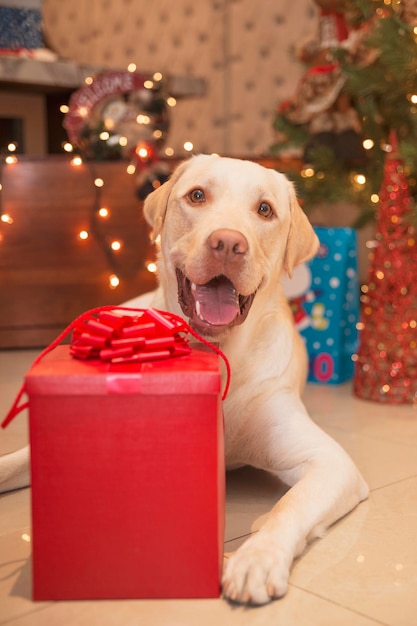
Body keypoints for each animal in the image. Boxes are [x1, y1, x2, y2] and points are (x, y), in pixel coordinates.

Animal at [2, 155, 368, 604]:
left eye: (265, 209)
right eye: (197, 195)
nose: (228, 243)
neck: (224, 355)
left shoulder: (331, 463)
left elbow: (289, 506)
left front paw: (257, 557)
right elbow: (13, 461)